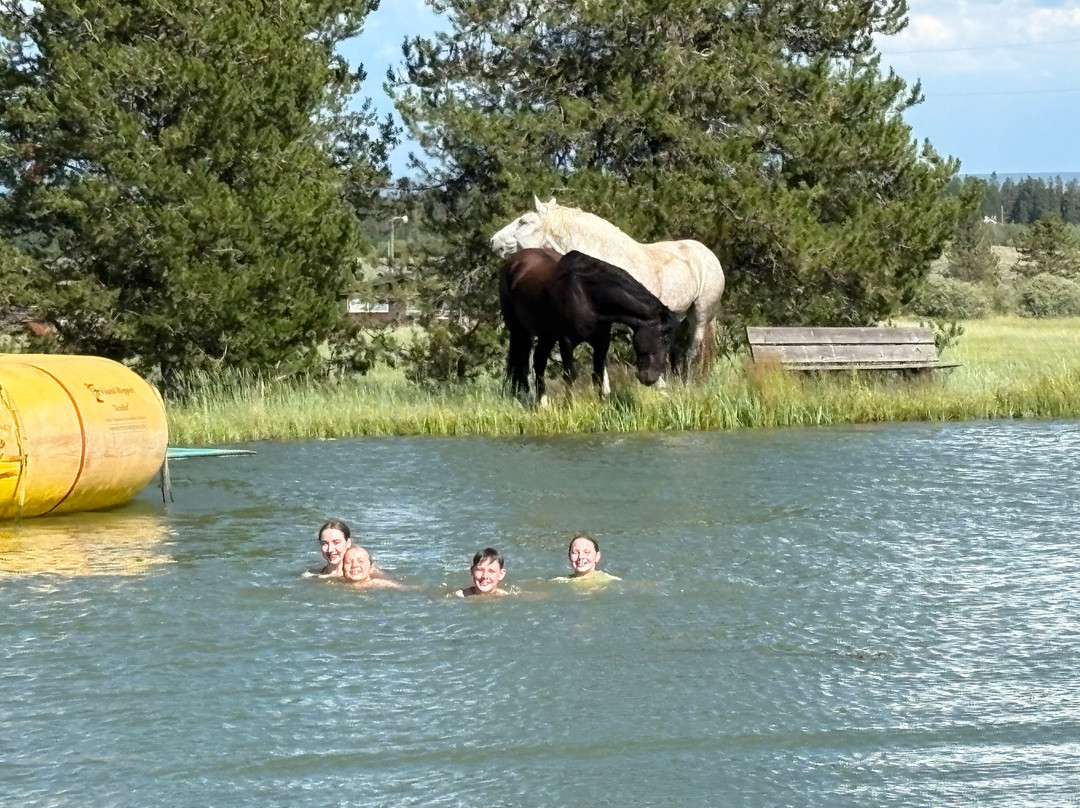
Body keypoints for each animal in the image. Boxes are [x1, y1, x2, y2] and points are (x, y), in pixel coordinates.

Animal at [499, 248, 679, 405]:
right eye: (662, 339)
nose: (649, 378)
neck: (585, 294)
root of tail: (514, 261)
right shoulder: (566, 341)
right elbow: (570, 375)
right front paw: (569, 406)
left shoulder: (602, 341)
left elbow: (598, 374)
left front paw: (600, 405)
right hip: (519, 331)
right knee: (523, 367)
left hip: (547, 335)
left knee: (539, 362)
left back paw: (543, 404)